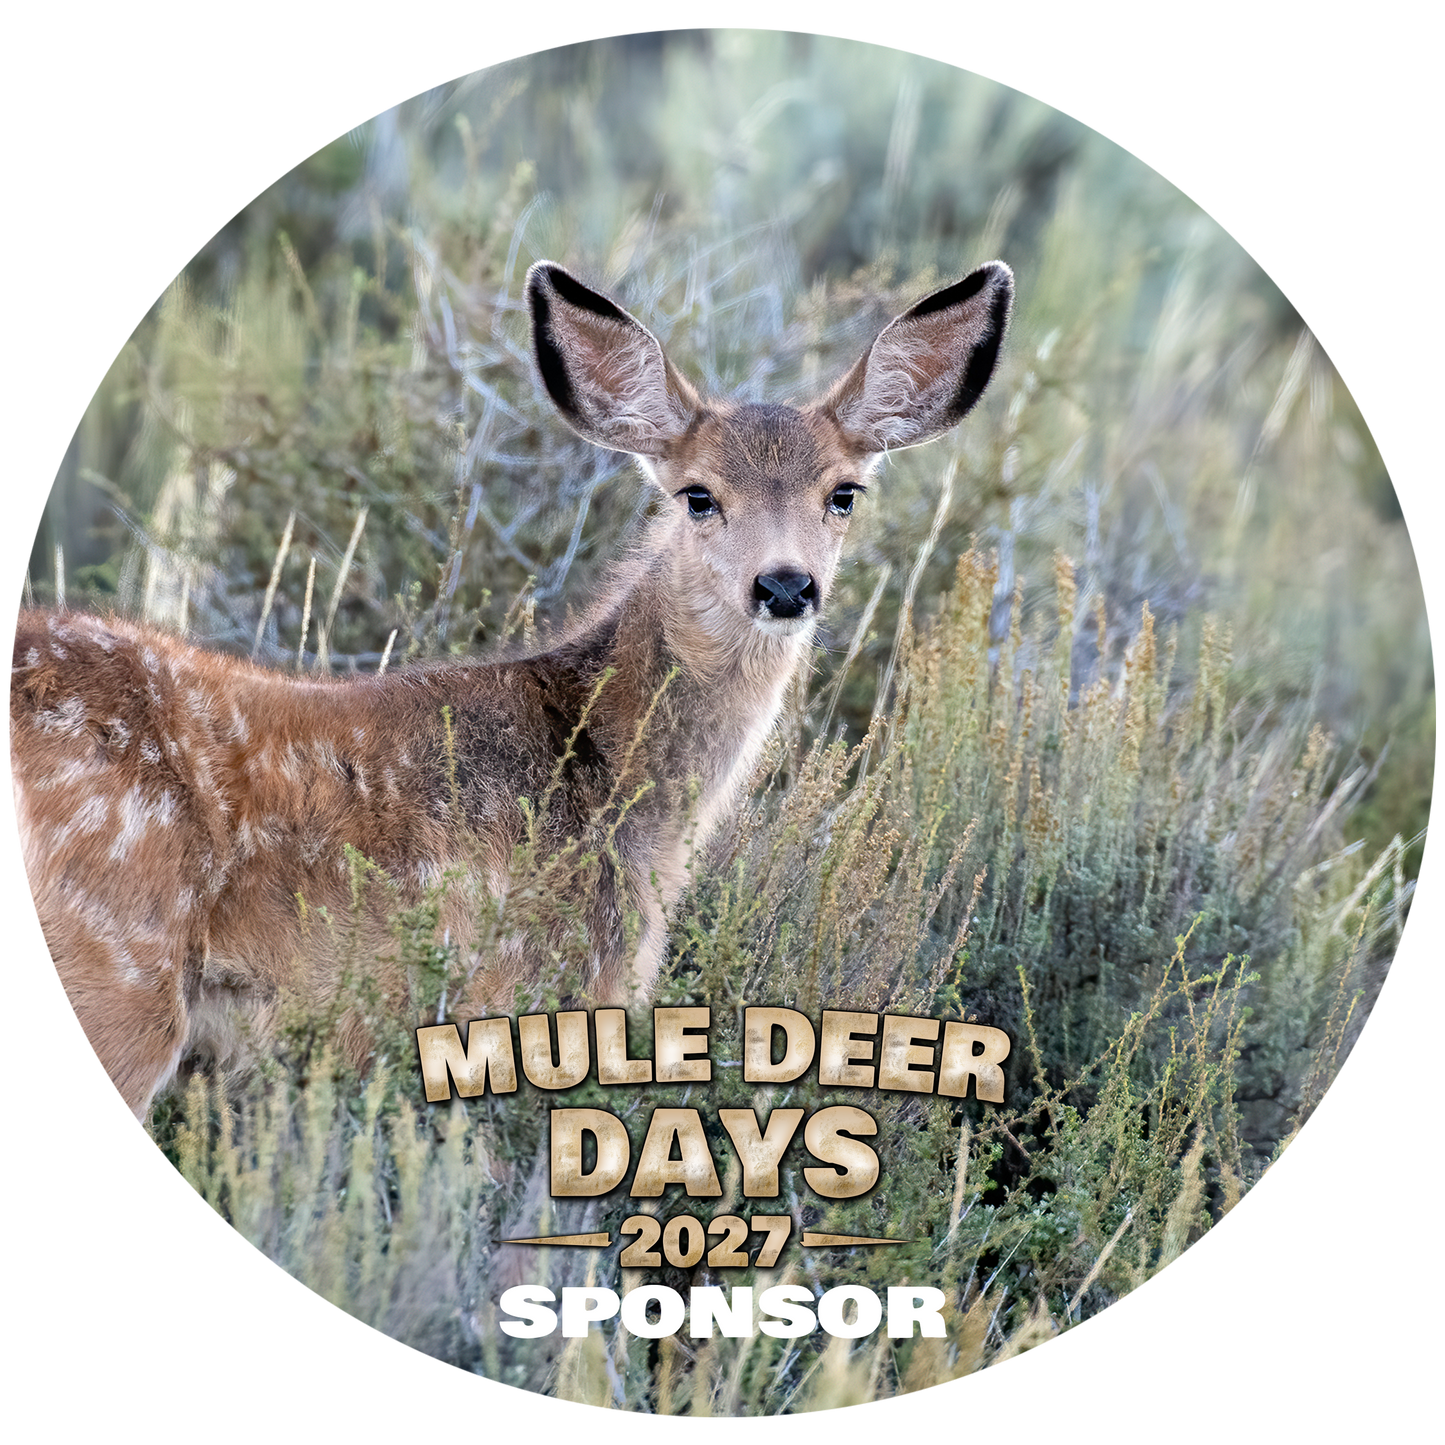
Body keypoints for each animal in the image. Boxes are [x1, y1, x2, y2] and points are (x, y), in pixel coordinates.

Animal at [10, 258, 1013, 1125]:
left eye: (843, 493)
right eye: (697, 495)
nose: (784, 585)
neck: (616, 784)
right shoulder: (529, 991)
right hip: (121, 967)